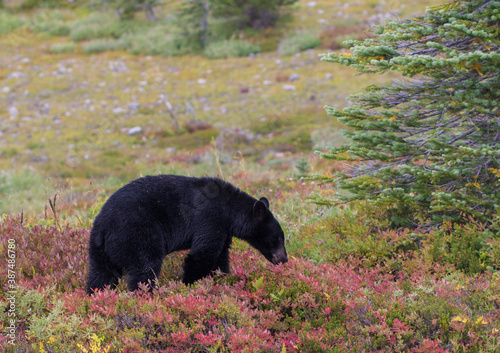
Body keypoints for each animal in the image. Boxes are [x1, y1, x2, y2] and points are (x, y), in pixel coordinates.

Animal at [88, 173, 288, 292]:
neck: (229, 210)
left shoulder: (223, 230)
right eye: (278, 238)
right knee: (145, 267)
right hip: (138, 234)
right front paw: (191, 285)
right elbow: (201, 255)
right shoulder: (210, 218)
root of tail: (103, 226)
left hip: (100, 250)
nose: (284, 259)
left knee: (101, 275)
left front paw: (221, 280)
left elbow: (220, 257)